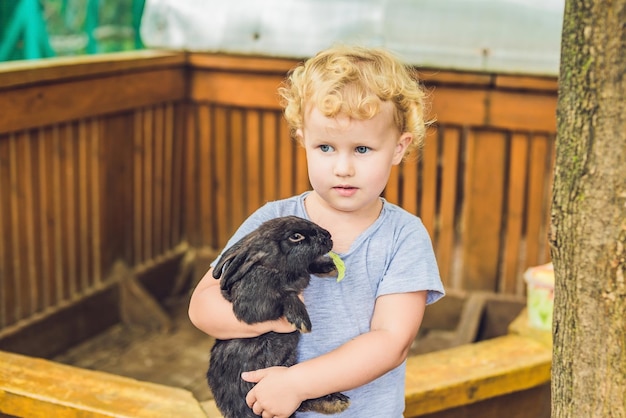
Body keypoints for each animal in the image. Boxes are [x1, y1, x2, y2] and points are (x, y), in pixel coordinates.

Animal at [207, 216, 348, 418]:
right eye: (295, 236)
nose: (328, 235)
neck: (275, 267)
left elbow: (310, 266)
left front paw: (331, 266)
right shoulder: (253, 305)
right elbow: (285, 295)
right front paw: (301, 319)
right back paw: (335, 402)